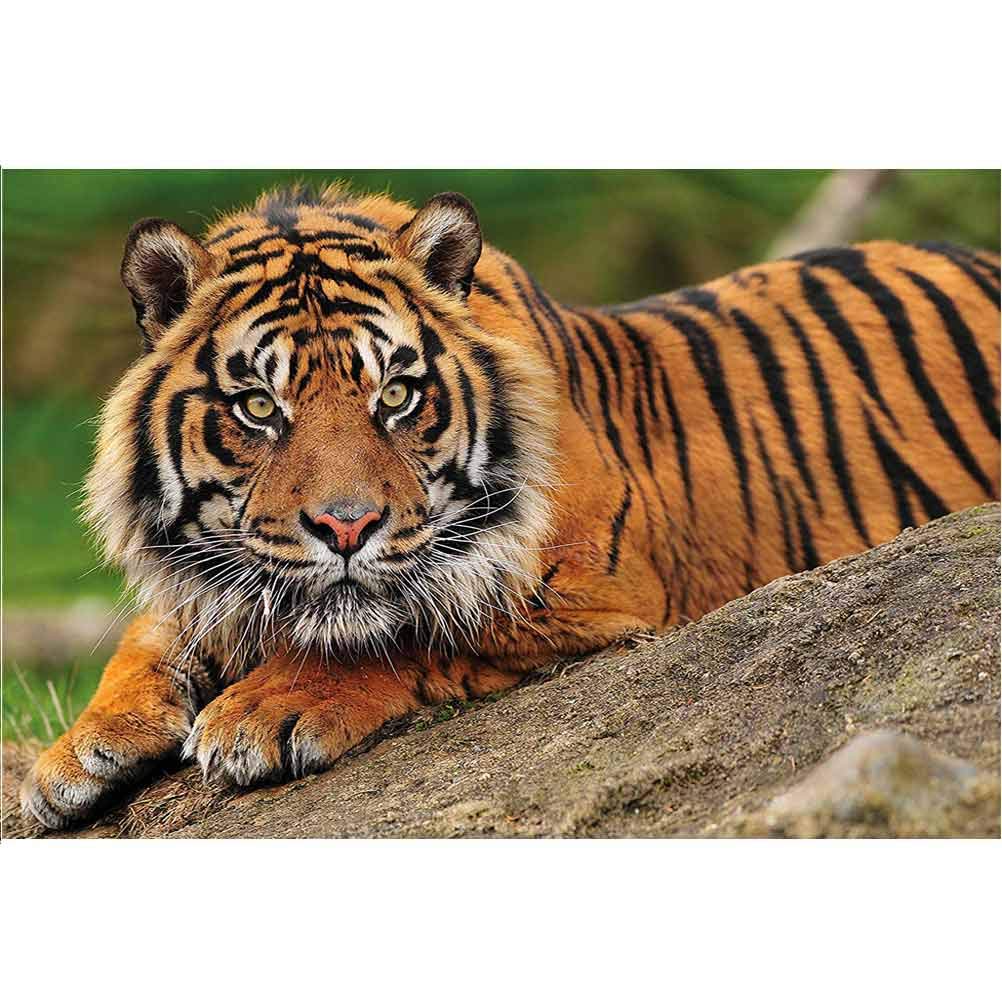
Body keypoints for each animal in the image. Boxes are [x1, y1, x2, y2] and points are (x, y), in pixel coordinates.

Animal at [20, 183, 1000, 830]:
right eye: (260, 407)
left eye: (397, 395)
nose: (346, 528)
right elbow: (154, 633)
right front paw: (74, 755)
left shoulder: (588, 592)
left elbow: (407, 629)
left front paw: (266, 710)